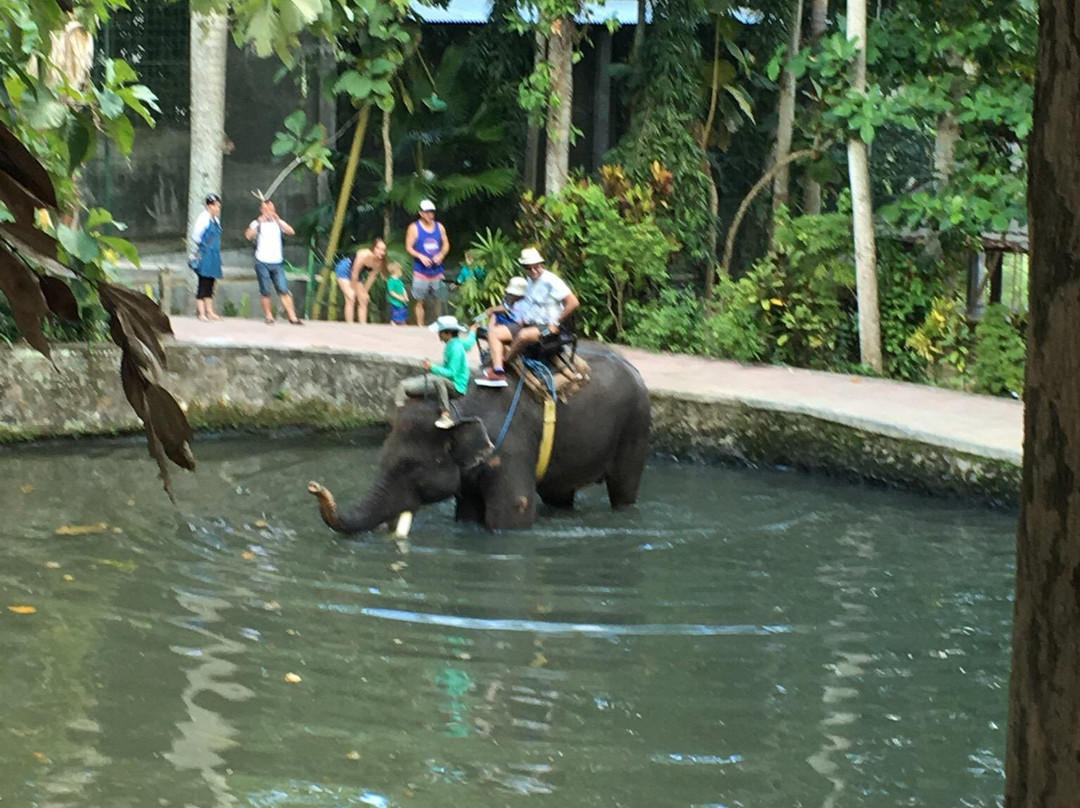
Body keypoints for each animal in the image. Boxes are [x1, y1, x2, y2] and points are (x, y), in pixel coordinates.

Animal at [308, 343, 652, 535]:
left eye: (409, 466)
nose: (313, 486)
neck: (455, 408)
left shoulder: (510, 449)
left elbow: (513, 513)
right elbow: (468, 514)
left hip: (636, 427)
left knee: (624, 488)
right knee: (559, 494)